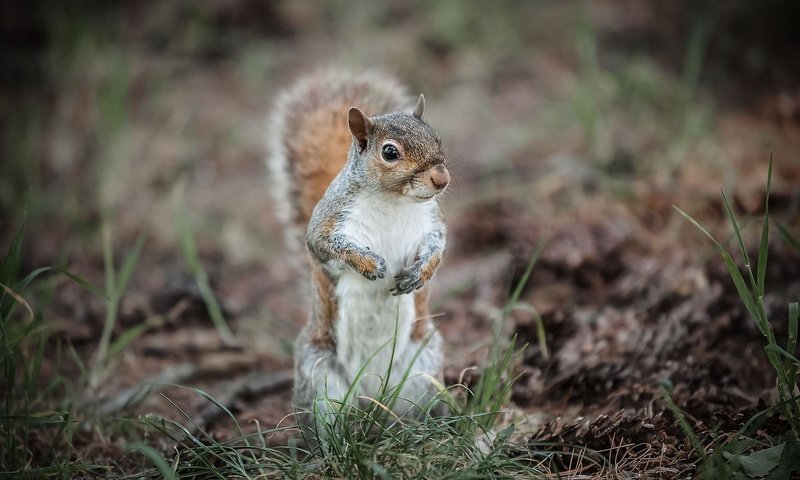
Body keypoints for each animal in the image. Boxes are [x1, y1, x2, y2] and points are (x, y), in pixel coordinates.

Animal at [268, 69, 450, 440]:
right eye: (390, 152)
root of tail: (370, 395)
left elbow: (438, 247)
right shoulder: (327, 224)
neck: (394, 201)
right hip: (319, 375)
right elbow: (323, 245)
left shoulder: (431, 224)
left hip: (423, 367)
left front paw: (420, 274)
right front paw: (369, 264)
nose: (442, 179)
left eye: (436, 137)